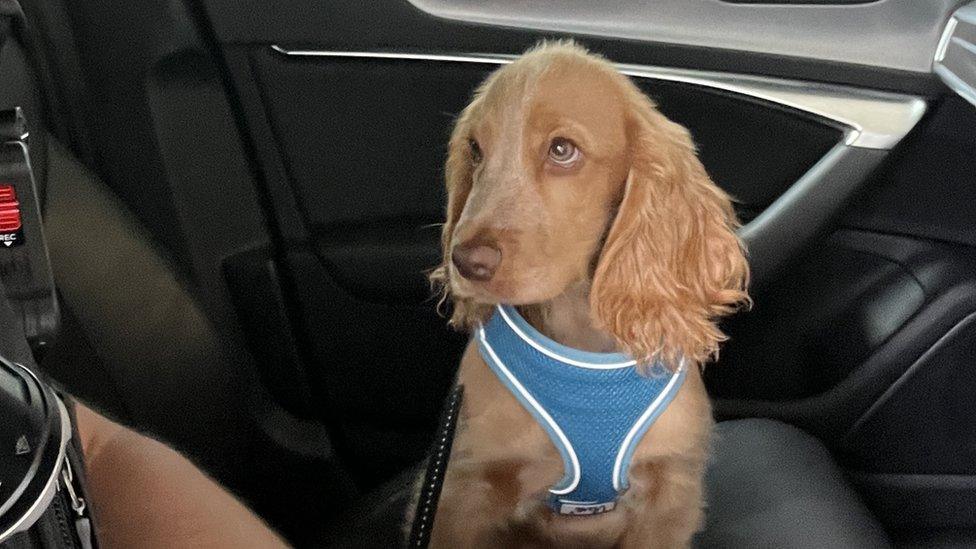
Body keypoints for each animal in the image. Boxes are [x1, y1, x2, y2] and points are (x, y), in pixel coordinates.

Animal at [420, 39, 748, 548]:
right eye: (475, 149)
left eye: (562, 150)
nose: (466, 262)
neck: (582, 345)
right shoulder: (460, 491)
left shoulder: (670, 495)